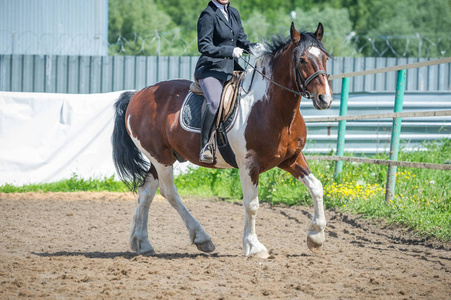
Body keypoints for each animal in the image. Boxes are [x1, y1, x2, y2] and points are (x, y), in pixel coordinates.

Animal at [111, 22, 334, 258]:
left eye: (325, 57)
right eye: (302, 60)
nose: (325, 99)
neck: (270, 107)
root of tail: (136, 95)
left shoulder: (290, 158)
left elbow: (317, 187)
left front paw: (316, 237)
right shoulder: (249, 164)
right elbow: (251, 204)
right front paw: (254, 246)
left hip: (160, 158)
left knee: (146, 192)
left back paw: (142, 242)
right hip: (160, 158)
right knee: (169, 193)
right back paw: (201, 238)